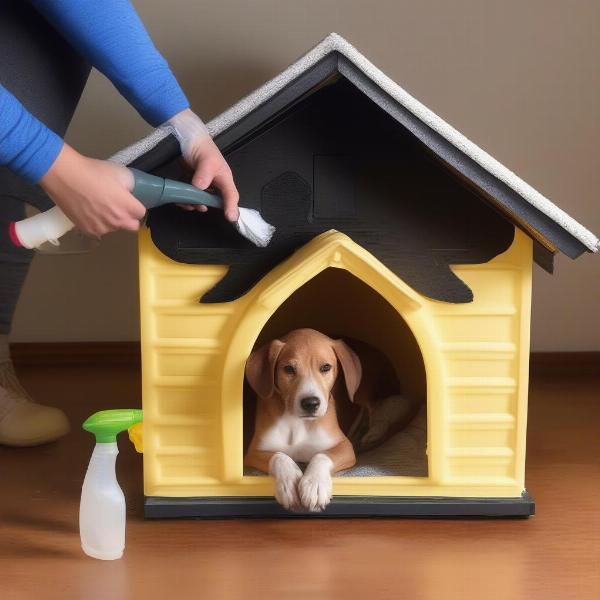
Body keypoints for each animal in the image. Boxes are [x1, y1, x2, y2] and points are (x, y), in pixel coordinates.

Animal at [244, 328, 418, 510]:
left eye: (325, 367)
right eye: (289, 369)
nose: (311, 403)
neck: (298, 423)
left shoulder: (344, 446)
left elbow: (322, 455)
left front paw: (315, 485)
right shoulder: (253, 452)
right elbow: (279, 456)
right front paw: (289, 483)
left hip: (369, 396)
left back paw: (372, 434)